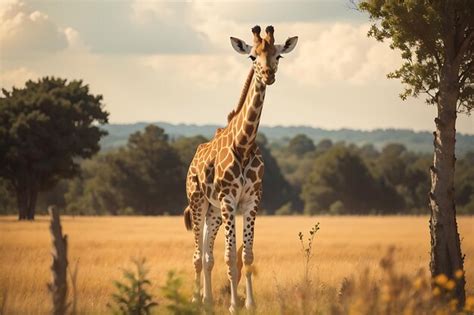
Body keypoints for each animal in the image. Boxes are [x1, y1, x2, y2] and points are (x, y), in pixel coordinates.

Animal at [184, 25, 298, 314]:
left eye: (278, 55)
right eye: (252, 56)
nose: (268, 75)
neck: (244, 145)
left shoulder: (251, 201)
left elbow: (246, 255)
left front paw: (250, 303)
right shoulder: (228, 200)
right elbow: (229, 256)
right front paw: (234, 305)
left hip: (213, 211)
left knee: (207, 253)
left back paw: (208, 301)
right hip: (199, 201)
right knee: (197, 255)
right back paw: (195, 301)